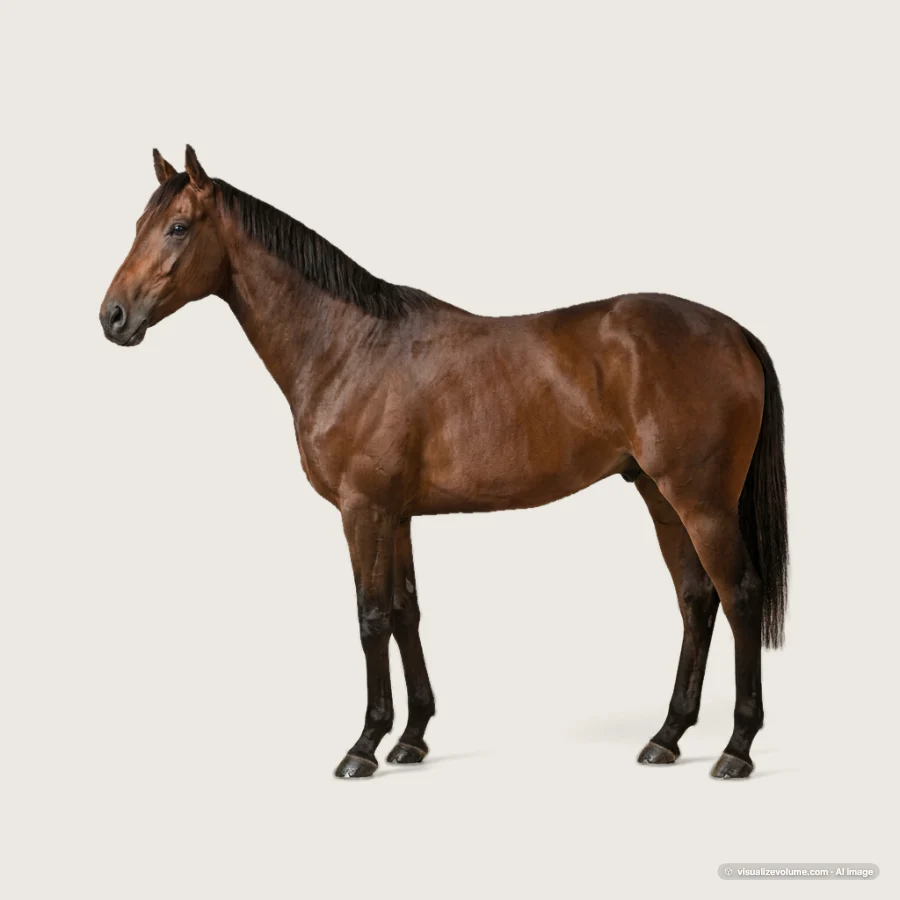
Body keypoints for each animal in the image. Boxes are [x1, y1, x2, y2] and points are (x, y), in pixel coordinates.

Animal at [100, 146, 787, 779]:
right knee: (696, 600)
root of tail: (734, 332)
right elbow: (407, 613)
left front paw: (363, 746)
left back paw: (736, 748)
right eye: (138, 222)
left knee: (739, 595)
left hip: (702, 502)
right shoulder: (397, 515)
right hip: (659, 496)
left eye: (178, 227)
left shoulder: (362, 510)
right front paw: (411, 738)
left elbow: (371, 618)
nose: (113, 316)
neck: (347, 345)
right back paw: (666, 737)